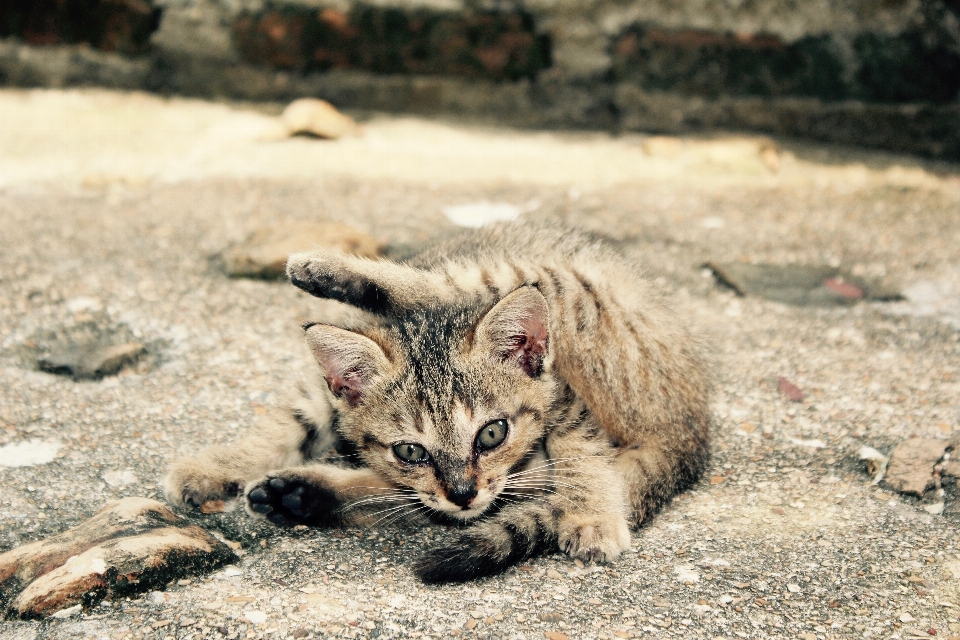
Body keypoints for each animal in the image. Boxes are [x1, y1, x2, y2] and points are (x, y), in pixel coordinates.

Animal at [165, 221, 708, 584]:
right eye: (411, 450)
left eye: (492, 433)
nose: (463, 493)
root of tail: (692, 425)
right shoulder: (332, 395)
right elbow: (292, 424)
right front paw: (216, 466)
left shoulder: (560, 395)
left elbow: (580, 446)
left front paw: (590, 513)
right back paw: (302, 493)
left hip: (573, 293)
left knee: (449, 285)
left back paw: (324, 270)